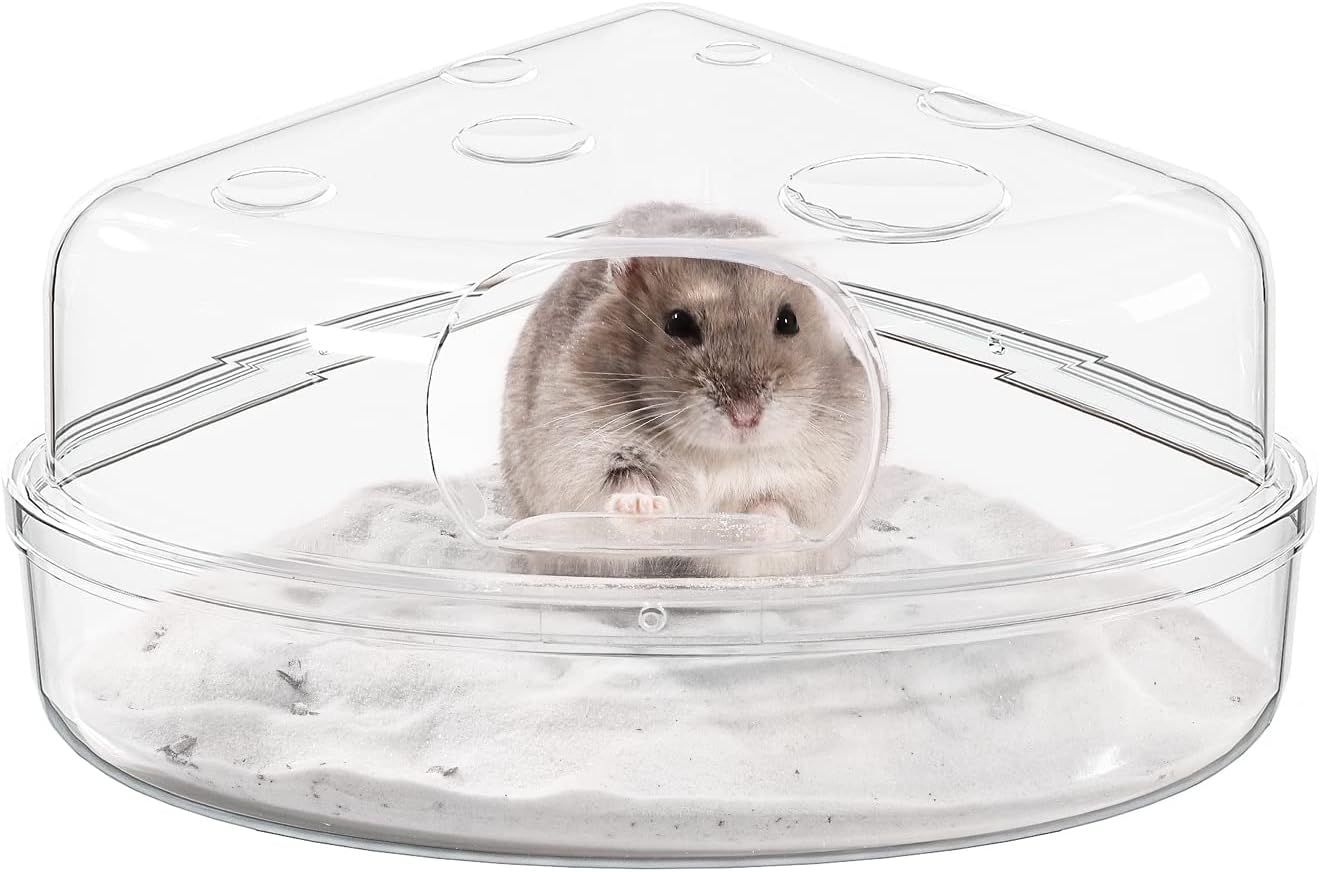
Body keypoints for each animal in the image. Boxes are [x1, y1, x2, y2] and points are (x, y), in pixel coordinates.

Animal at [499, 203, 881, 575]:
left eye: (788, 321)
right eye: (677, 323)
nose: (745, 416)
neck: (714, 452)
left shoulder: (815, 481)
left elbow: (773, 508)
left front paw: (765, 526)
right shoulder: (588, 453)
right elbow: (626, 483)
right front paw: (642, 507)